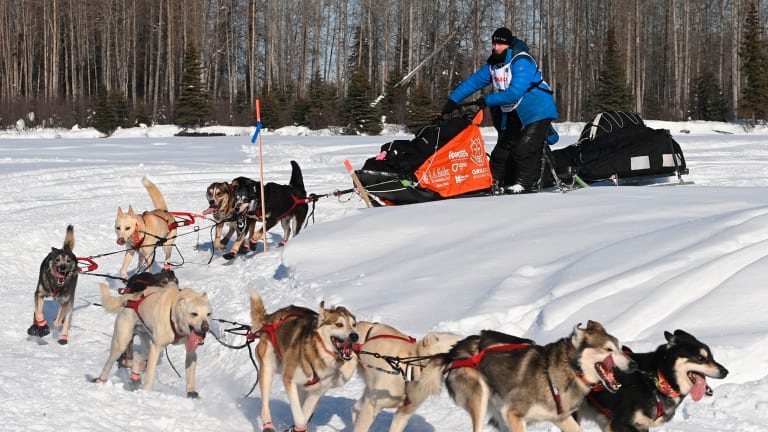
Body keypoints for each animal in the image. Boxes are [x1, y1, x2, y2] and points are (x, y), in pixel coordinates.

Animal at [250, 292, 362, 430]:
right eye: (339, 324)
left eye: (354, 324)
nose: (354, 336)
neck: (319, 351)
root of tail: (272, 317)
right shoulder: (289, 380)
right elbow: (300, 417)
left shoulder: (316, 392)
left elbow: (304, 415)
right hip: (268, 369)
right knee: (265, 406)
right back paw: (268, 425)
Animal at [428, 320, 632, 432]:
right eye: (608, 349)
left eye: (619, 347)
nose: (633, 364)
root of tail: (453, 352)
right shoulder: (513, 414)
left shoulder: (561, 418)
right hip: (480, 400)